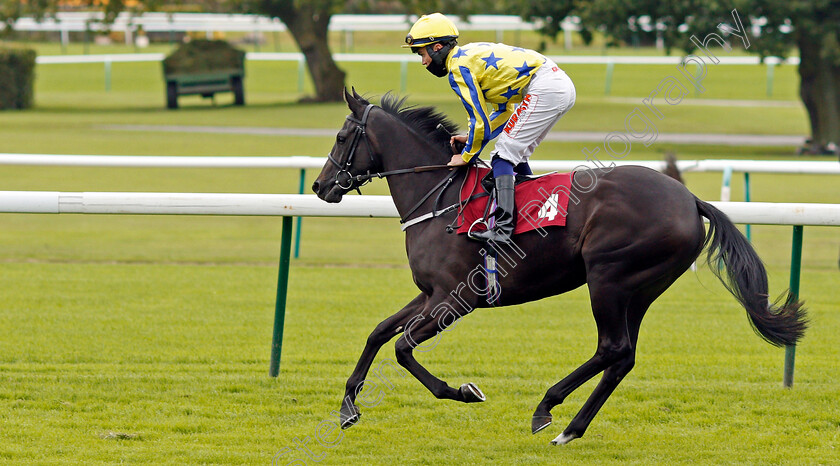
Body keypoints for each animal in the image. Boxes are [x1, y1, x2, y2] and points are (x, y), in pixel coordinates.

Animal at [310, 90, 808, 444]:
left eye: (341, 137)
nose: (319, 186)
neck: (440, 198)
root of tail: (689, 200)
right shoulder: (430, 293)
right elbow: (378, 333)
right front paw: (348, 407)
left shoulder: (458, 297)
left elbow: (403, 347)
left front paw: (464, 391)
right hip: (642, 289)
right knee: (624, 356)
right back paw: (572, 428)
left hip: (609, 278)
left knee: (611, 348)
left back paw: (548, 408)